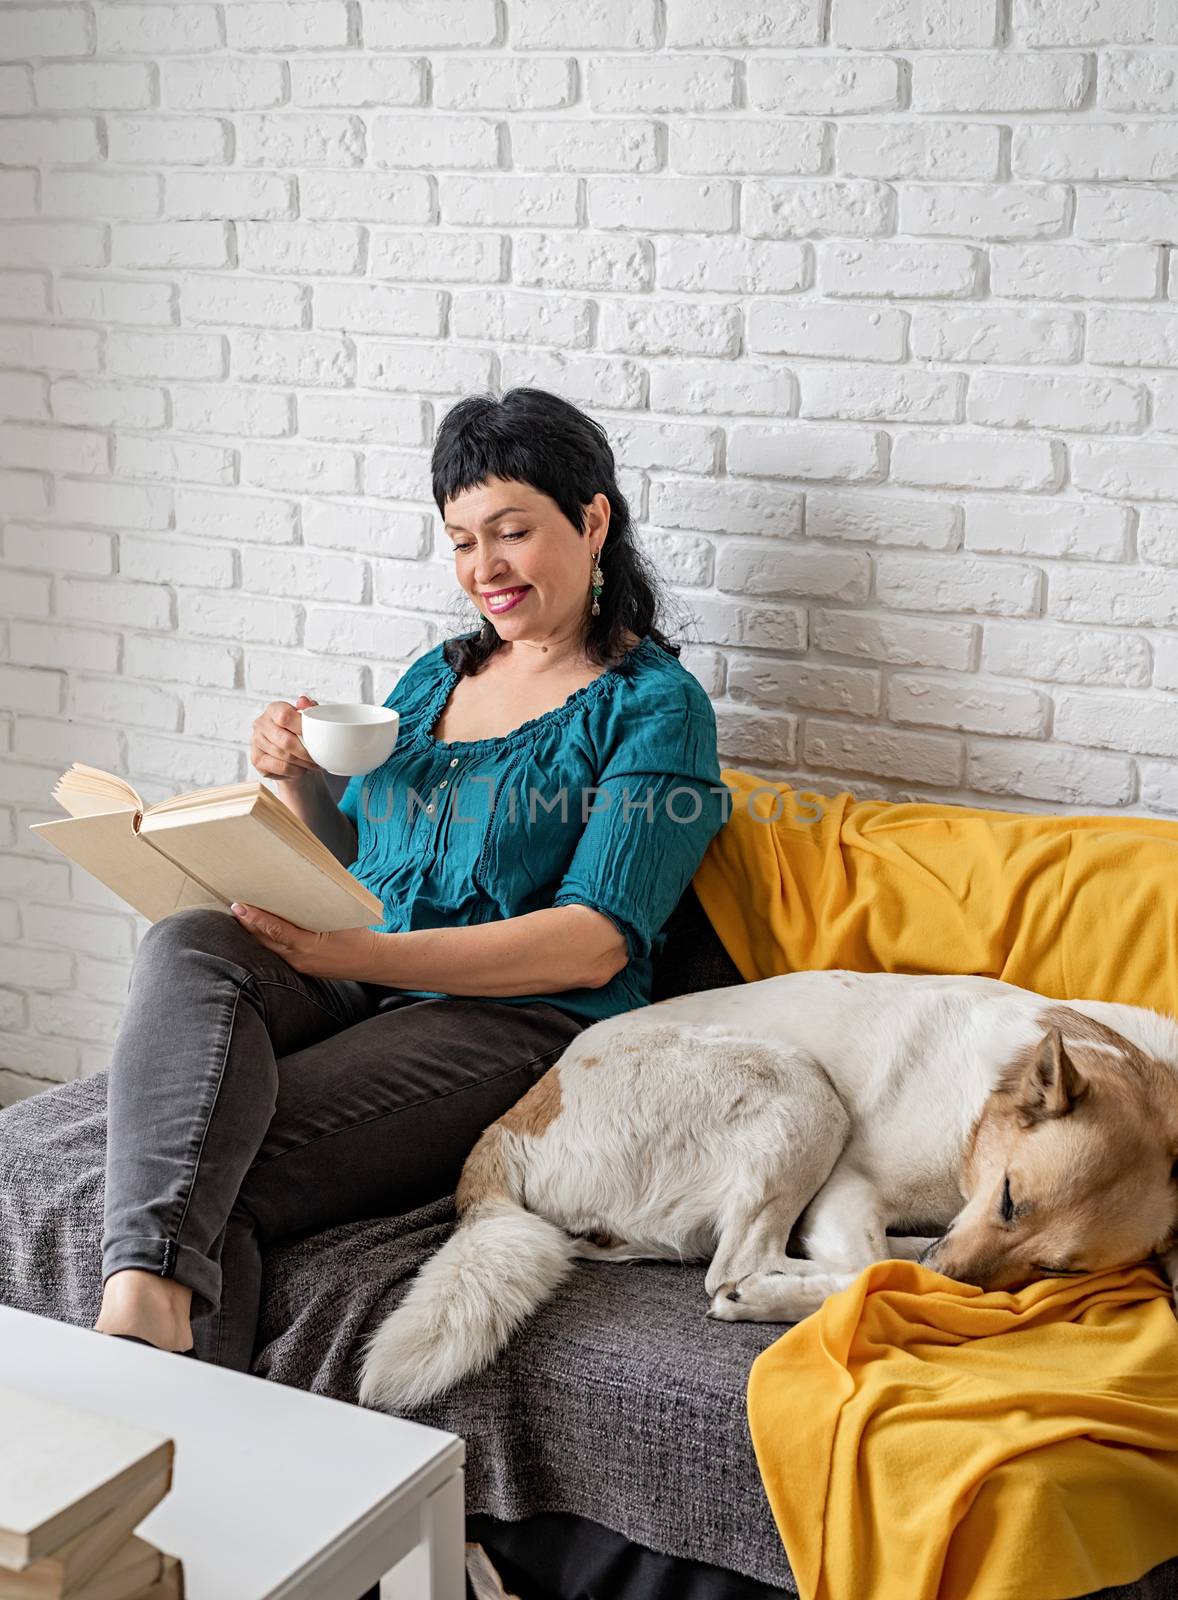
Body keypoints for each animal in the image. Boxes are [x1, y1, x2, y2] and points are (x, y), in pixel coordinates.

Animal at [356, 966, 1178, 1408]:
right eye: (1008, 1197)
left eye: (1056, 1271)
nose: (955, 1277)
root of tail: (515, 1119)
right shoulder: (850, 1185)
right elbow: (872, 1267)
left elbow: (893, 1264)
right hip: (801, 1090)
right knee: (739, 1263)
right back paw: (763, 1290)